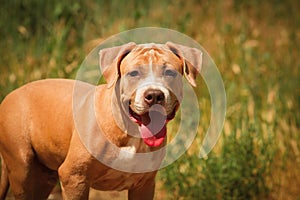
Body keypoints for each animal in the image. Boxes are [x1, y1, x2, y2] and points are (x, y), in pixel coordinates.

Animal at [0, 41, 203, 199]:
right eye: (134, 73)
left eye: (170, 73)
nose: (154, 95)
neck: (129, 130)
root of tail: (10, 95)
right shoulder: (74, 177)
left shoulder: (144, 185)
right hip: (22, 169)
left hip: (42, 178)